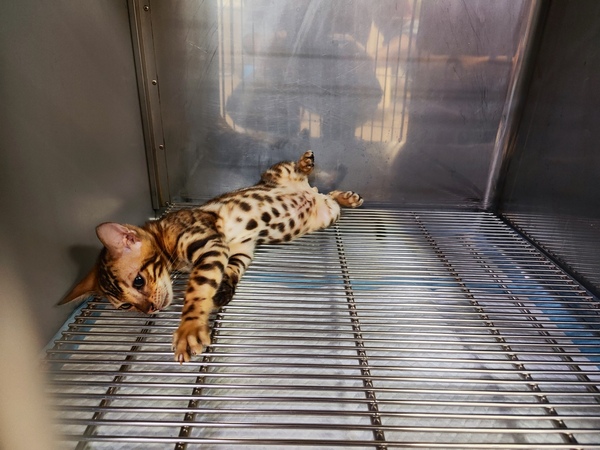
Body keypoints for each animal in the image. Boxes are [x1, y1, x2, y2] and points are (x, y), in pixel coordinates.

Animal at [61, 151, 363, 362]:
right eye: (125, 306)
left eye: (138, 281)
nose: (150, 309)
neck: (164, 232)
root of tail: (306, 190)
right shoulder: (238, 249)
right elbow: (229, 272)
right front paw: (222, 291)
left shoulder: (208, 244)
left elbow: (197, 289)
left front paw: (189, 329)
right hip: (327, 214)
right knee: (328, 196)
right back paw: (345, 196)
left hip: (279, 173)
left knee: (295, 169)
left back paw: (307, 163)